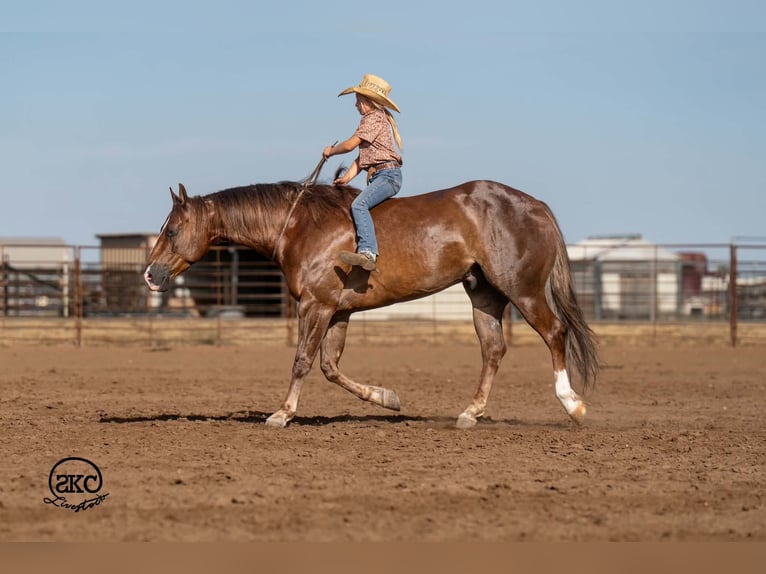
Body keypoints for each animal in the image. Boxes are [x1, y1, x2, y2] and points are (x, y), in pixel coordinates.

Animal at [143, 179, 599, 428]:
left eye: (173, 230)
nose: (150, 274)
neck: (299, 226)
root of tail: (535, 206)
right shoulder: (338, 311)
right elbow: (330, 367)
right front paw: (387, 397)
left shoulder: (316, 306)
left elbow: (303, 361)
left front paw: (282, 413)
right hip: (484, 295)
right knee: (493, 350)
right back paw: (471, 413)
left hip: (522, 289)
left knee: (555, 333)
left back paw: (573, 405)